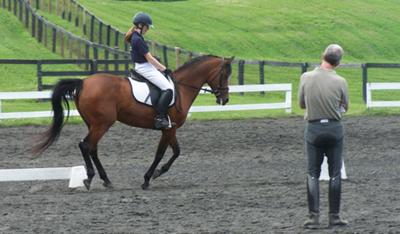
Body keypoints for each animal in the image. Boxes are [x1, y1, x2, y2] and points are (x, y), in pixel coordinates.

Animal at [34, 54, 234, 190]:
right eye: (224, 75)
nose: (224, 99)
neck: (181, 88)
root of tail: (83, 83)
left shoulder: (171, 129)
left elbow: (176, 151)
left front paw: (157, 173)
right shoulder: (169, 129)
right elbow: (161, 154)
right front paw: (149, 178)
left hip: (94, 124)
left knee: (92, 148)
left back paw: (106, 180)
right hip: (102, 124)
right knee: (86, 145)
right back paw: (89, 178)